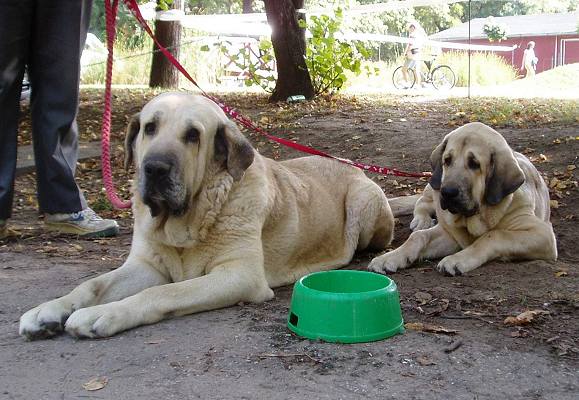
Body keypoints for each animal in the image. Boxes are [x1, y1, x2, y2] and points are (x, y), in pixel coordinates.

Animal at [20, 94, 412, 340]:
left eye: (193, 135)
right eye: (149, 127)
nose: (155, 168)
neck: (188, 221)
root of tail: (353, 167)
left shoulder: (238, 276)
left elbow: (165, 292)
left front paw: (102, 314)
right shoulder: (146, 266)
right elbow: (93, 285)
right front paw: (49, 310)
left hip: (361, 202)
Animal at [372, 122, 556, 278]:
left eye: (474, 164)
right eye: (447, 160)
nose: (447, 192)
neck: (478, 216)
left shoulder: (542, 233)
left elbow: (494, 235)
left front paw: (456, 259)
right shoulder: (450, 233)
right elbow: (418, 237)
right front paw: (390, 257)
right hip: (433, 186)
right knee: (422, 204)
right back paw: (422, 220)